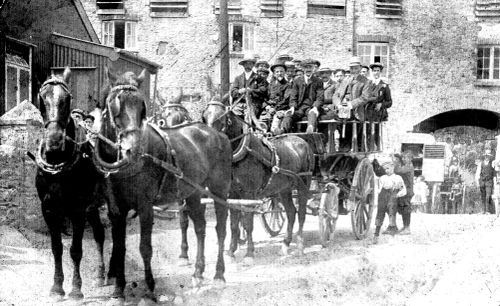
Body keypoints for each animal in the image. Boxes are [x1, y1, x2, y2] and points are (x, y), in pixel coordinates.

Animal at [34, 67, 107, 302]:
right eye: (41, 98)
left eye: (67, 98)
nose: (55, 141)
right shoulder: (49, 209)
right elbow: (57, 248)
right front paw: (57, 287)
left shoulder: (77, 210)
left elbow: (75, 250)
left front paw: (76, 289)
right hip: (92, 207)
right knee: (99, 233)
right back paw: (101, 275)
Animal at [94, 67, 232, 304]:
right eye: (114, 104)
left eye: (141, 106)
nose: (133, 150)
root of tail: (217, 133)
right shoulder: (115, 210)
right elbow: (119, 248)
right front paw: (119, 290)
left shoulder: (145, 206)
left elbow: (145, 248)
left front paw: (150, 288)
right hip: (193, 191)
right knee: (200, 227)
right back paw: (198, 273)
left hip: (219, 190)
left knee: (221, 229)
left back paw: (219, 275)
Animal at [202, 94, 312, 260]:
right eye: (204, 116)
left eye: (221, 117)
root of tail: (302, 141)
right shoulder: (232, 194)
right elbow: (234, 224)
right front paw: (231, 251)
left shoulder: (249, 194)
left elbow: (248, 223)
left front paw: (249, 253)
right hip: (284, 189)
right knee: (291, 212)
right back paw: (285, 244)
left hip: (303, 184)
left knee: (302, 213)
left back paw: (299, 245)